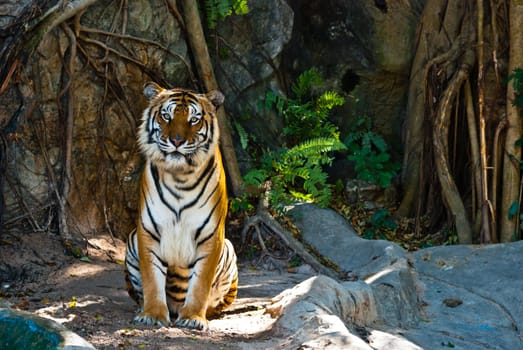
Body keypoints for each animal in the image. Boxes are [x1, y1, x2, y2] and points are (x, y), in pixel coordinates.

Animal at [126, 82, 241, 330]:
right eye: (166, 116)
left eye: (193, 119)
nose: (177, 141)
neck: (180, 177)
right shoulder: (148, 231)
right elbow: (152, 279)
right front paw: (152, 314)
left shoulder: (211, 236)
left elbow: (200, 283)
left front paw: (194, 318)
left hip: (229, 249)